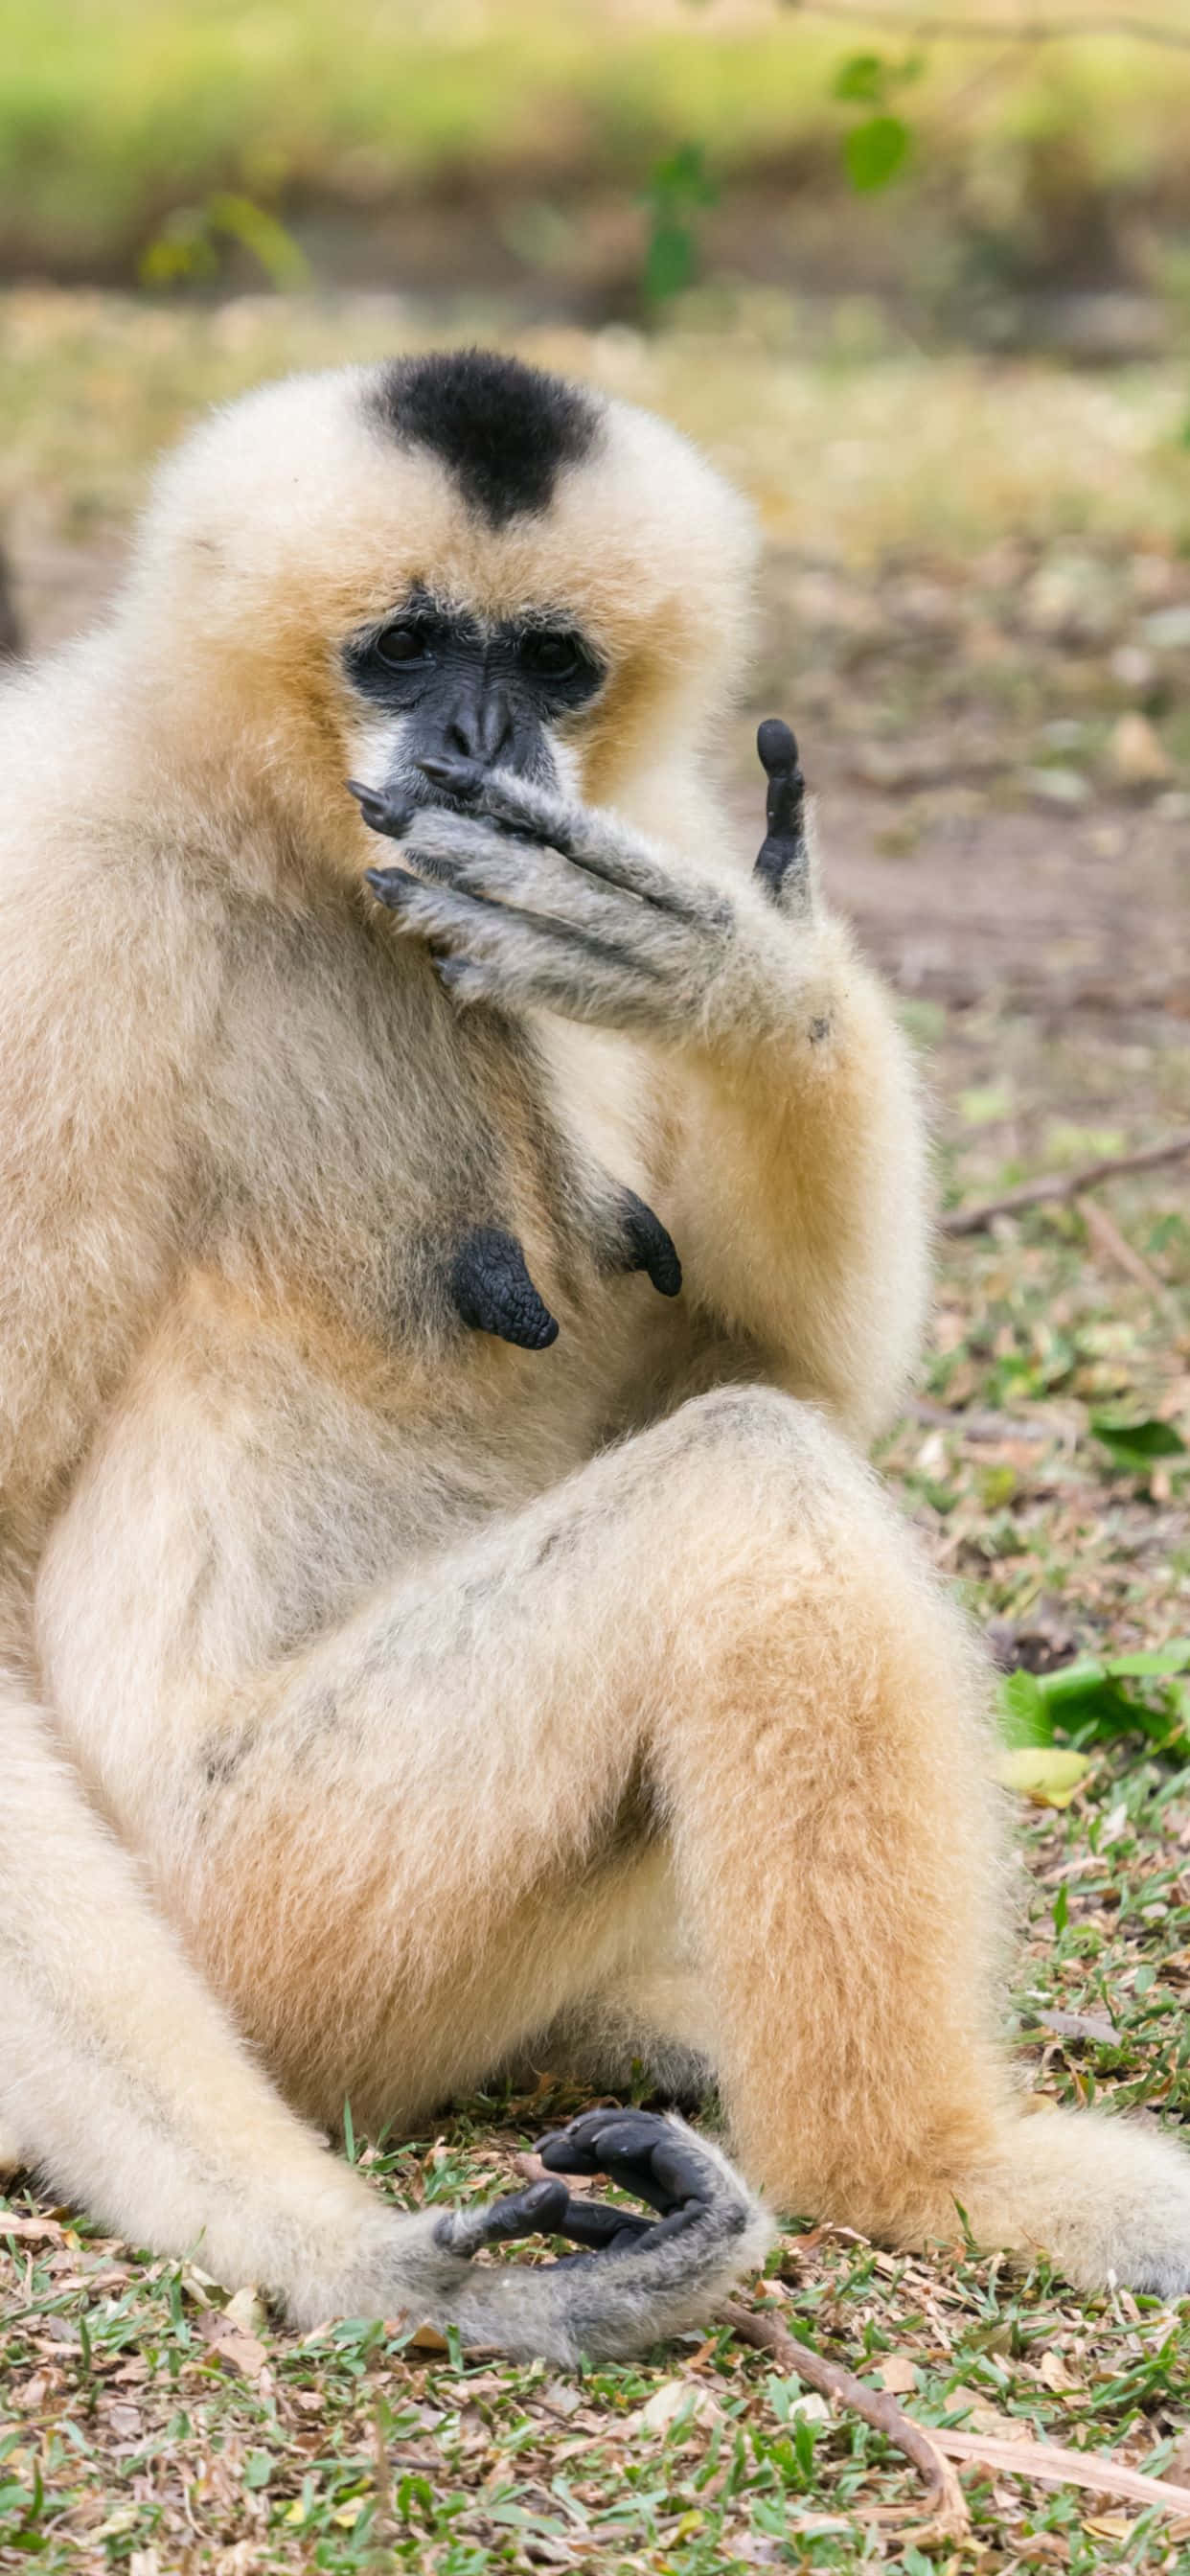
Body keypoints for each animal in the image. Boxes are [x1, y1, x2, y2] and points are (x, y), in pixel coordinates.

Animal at [4, 348, 1190, 2369]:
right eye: (405, 645)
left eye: (552, 662)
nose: (481, 737)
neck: (279, 846)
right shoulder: (50, 916)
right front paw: (357, 2257)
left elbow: (759, 1350)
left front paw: (745, 984)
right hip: (259, 1898)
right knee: (745, 1496)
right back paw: (927, 2172)